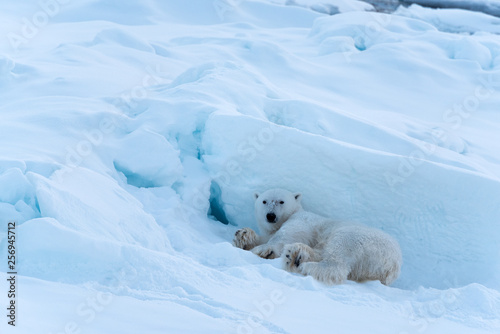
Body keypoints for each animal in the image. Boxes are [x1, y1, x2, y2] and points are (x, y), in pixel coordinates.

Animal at [233, 188, 402, 284]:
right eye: (264, 201)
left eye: (281, 201)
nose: (270, 215)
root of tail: (393, 264)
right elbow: (266, 236)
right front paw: (243, 235)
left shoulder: (302, 220)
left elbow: (283, 235)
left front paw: (263, 250)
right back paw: (296, 256)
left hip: (358, 238)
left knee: (338, 255)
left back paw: (305, 265)